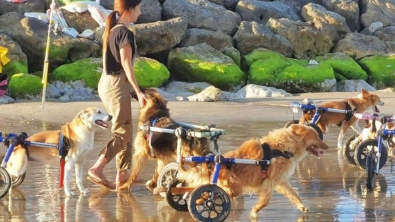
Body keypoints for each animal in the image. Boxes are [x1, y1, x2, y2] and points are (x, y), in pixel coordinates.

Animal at [178, 124, 330, 219]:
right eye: (317, 137)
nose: (327, 147)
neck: (285, 148)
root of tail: (212, 162)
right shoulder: (270, 182)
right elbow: (265, 202)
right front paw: (254, 211)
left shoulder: (281, 181)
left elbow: (294, 195)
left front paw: (302, 206)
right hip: (234, 188)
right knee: (208, 196)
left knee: (200, 194)